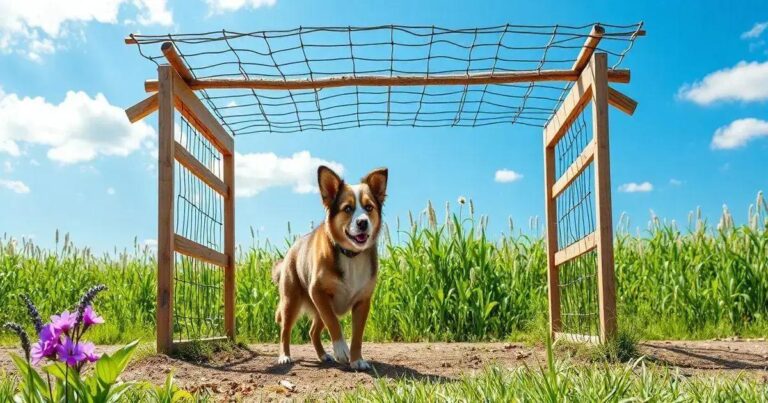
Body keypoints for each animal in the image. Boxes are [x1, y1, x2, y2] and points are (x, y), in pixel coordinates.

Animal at [272, 166, 390, 370]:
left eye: (369, 208)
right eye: (348, 208)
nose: (363, 222)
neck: (350, 255)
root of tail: (290, 251)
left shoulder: (362, 302)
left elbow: (357, 336)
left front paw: (356, 359)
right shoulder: (318, 291)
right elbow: (333, 323)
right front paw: (341, 349)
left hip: (319, 306)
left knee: (313, 331)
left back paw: (322, 355)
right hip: (291, 302)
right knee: (285, 331)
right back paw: (285, 356)